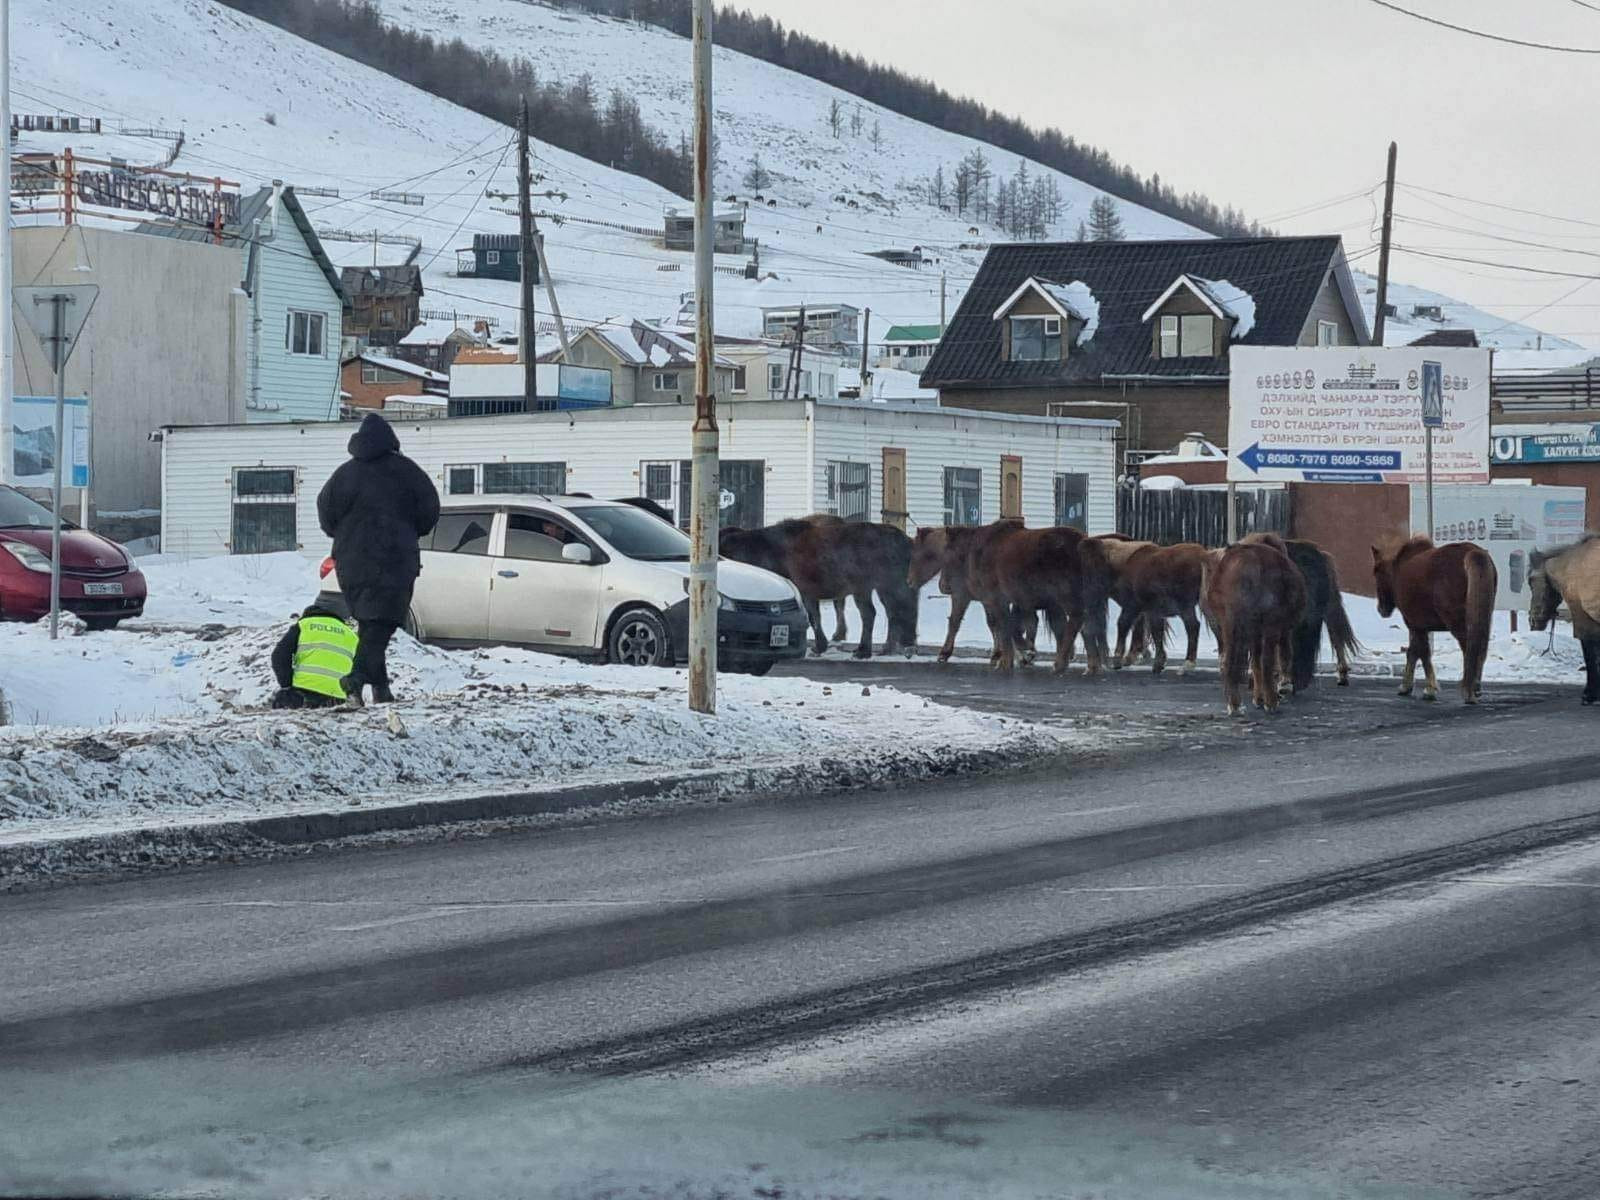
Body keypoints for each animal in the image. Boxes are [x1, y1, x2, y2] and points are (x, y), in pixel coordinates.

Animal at [1203, 544, 1305, 720]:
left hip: (1228, 624)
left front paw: (1258, 698)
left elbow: (1255, 662)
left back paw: (1235, 705)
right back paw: (1271, 703)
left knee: (1228, 661)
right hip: (1269, 623)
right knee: (1267, 661)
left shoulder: (1254, 633)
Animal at [1369, 537, 1491, 704]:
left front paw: (1429, 689)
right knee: (1481, 648)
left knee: (1469, 648)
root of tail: (1473, 554)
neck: (1397, 569)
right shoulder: (1419, 626)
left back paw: (1469, 691)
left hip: (1457, 622)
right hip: (1484, 614)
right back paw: (1476, 688)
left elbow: (1423, 653)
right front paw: (1406, 686)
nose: (1381, 609)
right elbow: (1413, 652)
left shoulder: (1414, 624)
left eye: (1376, 571)